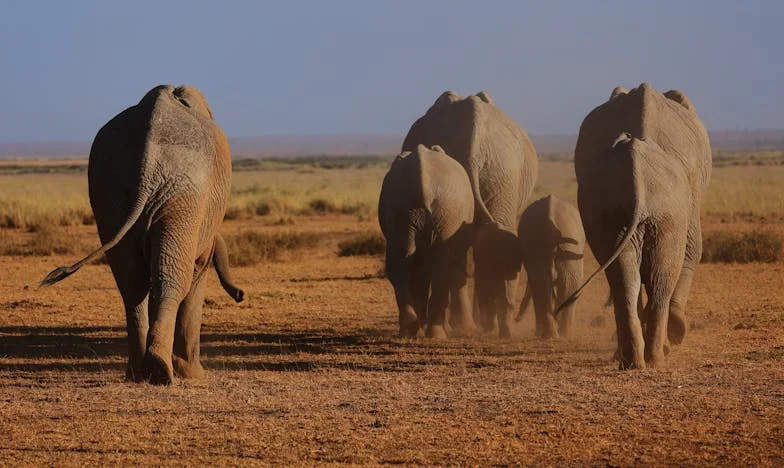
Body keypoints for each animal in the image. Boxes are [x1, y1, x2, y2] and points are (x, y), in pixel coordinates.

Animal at [41, 84, 243, 384]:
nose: (241, 295)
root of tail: (148, 160)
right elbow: (196, 275)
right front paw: (193, 374)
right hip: (183, 196)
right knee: (172, 280)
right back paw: (161, 370)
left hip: (111, 191)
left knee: (132, 282)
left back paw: (142, 371)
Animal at [376, 144, 474, 338]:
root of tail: (425, 184)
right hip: (443, 211)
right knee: (437, 265)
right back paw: (430, 333)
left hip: (411, 208)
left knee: (402, 261)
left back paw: (412, 330)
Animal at [404, 90, 540, 336]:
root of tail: (474, 148)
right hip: (504, 174)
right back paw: (483, 324)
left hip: (500, 173)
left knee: (465, 250)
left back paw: (469, 324)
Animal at [556, 83, 712, 370]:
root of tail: (636, 168)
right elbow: (693, 251)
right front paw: (676, 333)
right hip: (668, 212)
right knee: (660, 279)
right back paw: (655, 358)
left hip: (616, 212)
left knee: (625, 278)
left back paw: (634, 362)